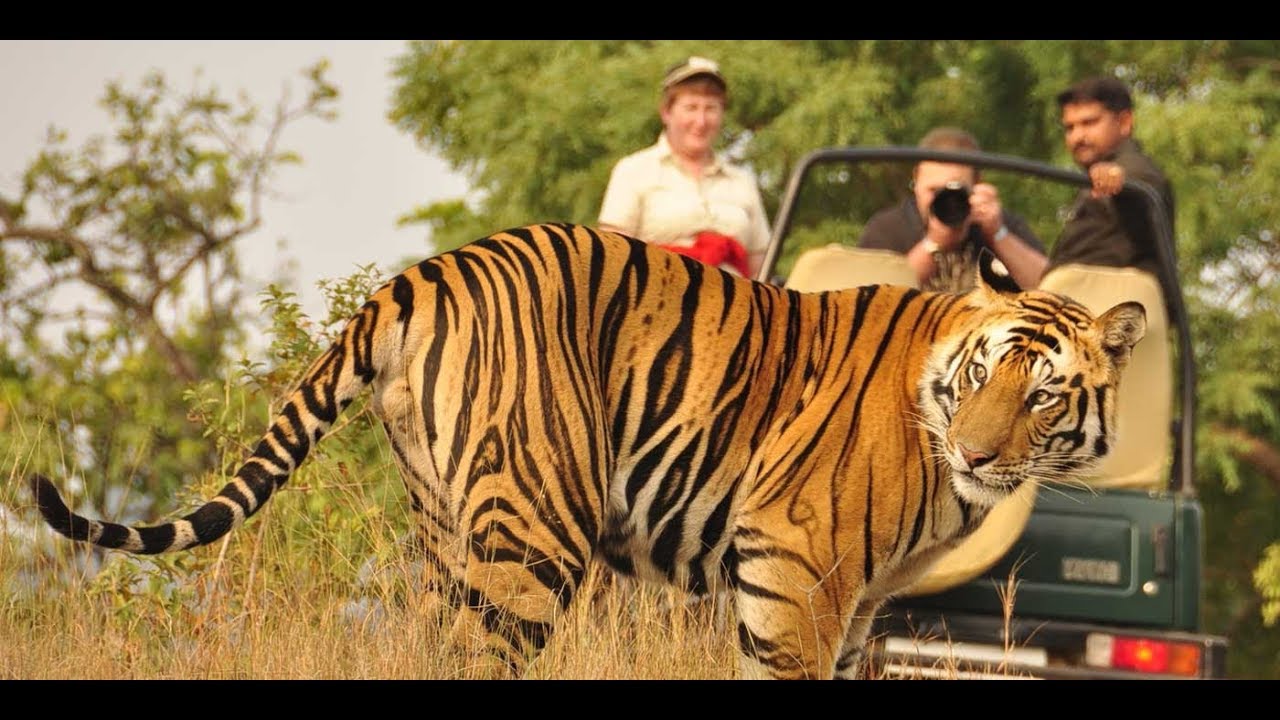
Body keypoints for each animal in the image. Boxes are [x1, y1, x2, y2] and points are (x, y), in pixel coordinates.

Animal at [30, 221, 1152, 676]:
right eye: (984, 376)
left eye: (1042, 396)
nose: (976, 456)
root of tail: (416, 275)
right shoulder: (796, 567)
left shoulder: (853, 602)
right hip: (535, 534)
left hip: (445, 528)